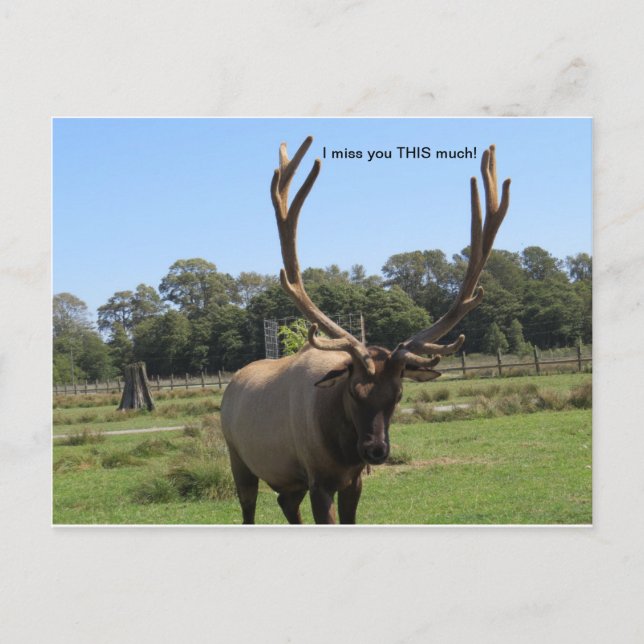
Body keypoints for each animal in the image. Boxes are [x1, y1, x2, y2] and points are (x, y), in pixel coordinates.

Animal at [220, 136, 510, 524]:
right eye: (354, 391)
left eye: (399, 394)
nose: (375, 450)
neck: (342, 452)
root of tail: (232, 385)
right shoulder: (318, 479)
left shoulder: (352, 481)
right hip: (238, 459)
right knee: (249, 508)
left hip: (288, 479)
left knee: (286, 503)